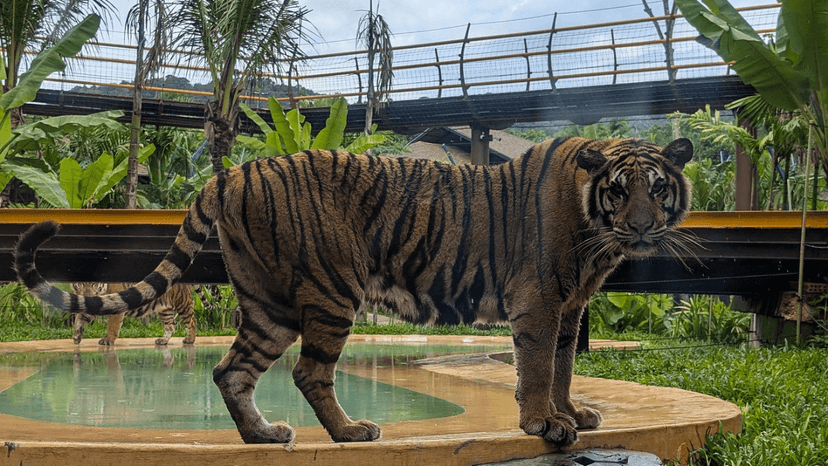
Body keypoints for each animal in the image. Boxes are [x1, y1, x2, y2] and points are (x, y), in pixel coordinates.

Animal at [14, 136, 693, 446]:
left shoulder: (570, 306)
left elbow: (564, 367)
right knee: (308, 373)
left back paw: (264, 437)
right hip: (333, 291)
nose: (640, 227)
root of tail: (234, 171)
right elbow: (536, 366)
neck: (595, 232)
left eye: (657, 187)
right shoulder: (540, 302)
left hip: (269, 304)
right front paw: (543, 425)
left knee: (232, 370)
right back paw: (349, 433)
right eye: (619, 190)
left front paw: (572, 413)